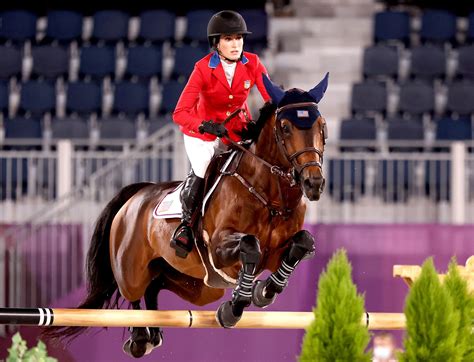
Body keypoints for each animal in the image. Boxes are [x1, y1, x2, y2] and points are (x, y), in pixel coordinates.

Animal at [46, 73, 330, 356]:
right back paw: (140, 338)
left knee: (156, 284)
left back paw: (153, 333)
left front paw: (264, 291)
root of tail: (137, 194)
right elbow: (251, 245)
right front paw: (234, 308)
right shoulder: (219, 249)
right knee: (134, 293)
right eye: (285, 127)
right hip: (131, 269)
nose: (313, 183)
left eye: (322, 127)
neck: (269, 194)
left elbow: (303, 243)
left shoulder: (274, 254)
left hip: (198, 286)